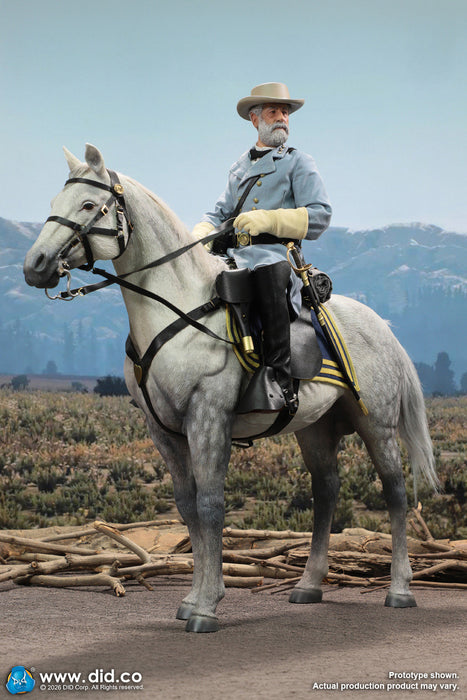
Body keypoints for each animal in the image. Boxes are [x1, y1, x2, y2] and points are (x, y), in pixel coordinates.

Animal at [23, 144, 438, 632]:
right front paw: (193, 598)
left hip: (378, 424)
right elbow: (187, 507)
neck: (176, 310)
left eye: (89, 205)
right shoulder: (163, 430)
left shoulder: (208, 418)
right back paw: (308, 585)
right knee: (325, 493)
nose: (35, 266)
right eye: (55, 202)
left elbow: (210, 505)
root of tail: (383, 326)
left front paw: (206, 605)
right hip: (314, 429)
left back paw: (400, 589)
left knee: (395, 491)